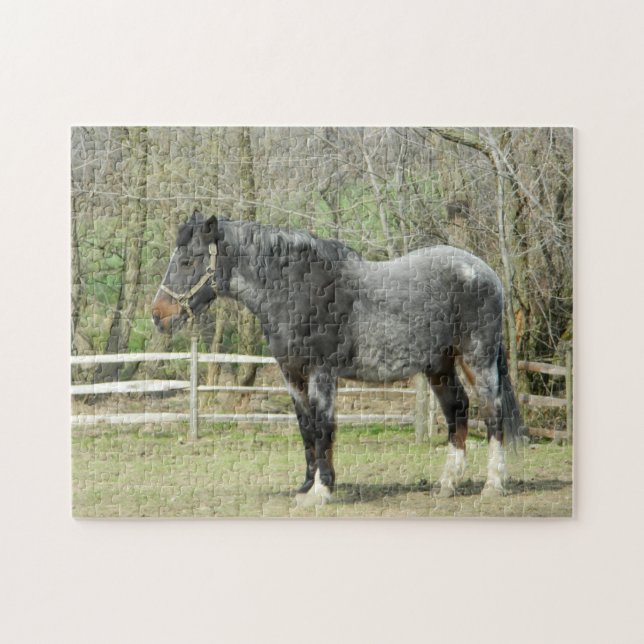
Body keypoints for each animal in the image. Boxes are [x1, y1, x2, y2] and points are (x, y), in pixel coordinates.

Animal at [152, 210, 525, 504]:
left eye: (187, 261)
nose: (158, 315)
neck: (297, 290)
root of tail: (485, 271)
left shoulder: (321, 373)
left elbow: (323, 427)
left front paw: (323, 490)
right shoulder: (292, 376)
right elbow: (306, 429)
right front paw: (306, 487)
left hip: (478, 359)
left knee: (492, 412)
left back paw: (493, 484)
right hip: (440, 366)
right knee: (457, 410)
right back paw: (448, 484)